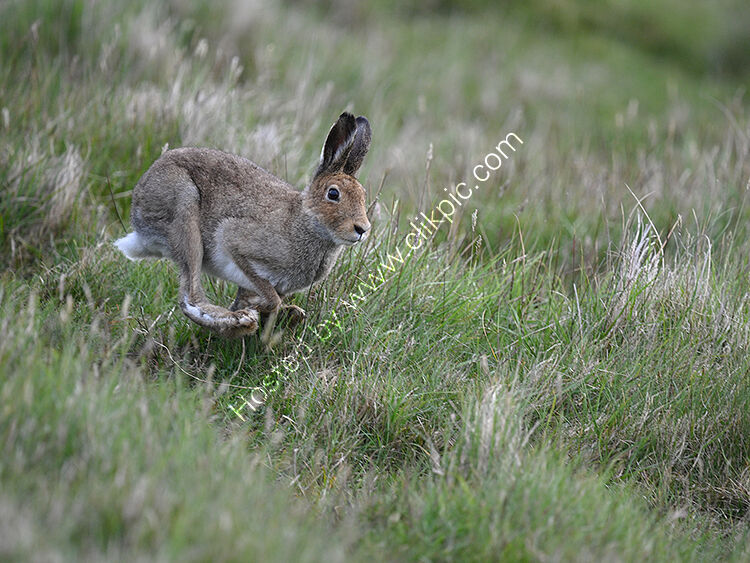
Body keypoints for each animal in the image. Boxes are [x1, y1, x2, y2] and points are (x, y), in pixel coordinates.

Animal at [115, 111, 372, 336]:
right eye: (333, 194)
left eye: (363, 195)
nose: (362, 229)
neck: (305, 220)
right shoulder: (234, 241)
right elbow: (270, 296)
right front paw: (253, 313)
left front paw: (286, 314)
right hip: (184, 209)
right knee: (190, 297)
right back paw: (237, 322)